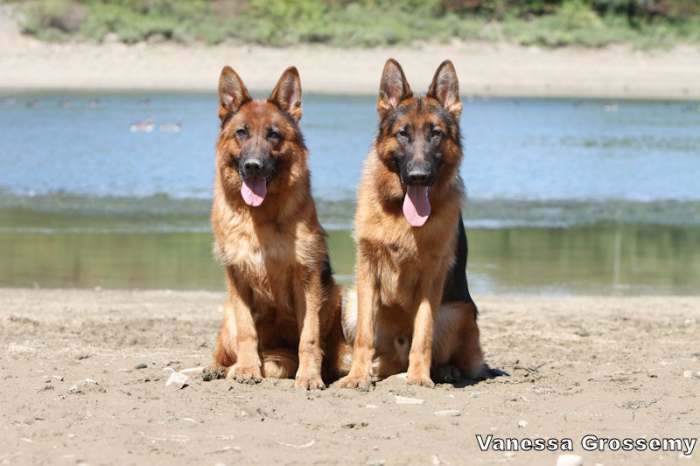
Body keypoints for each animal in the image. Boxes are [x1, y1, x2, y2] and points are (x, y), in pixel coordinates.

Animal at [202, 65, 350, 390]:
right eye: (241, 132)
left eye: (273, 135)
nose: (253, 166)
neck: (260, 217)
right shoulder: (239, 280)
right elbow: (247, 332)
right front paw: (246, 369)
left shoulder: (306, 280)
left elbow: (309, 338)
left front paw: (309, 376)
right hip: (228, 313)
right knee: (227, 347)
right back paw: (219, 367)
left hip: (333, 296)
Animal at [336, 59, 490, 390]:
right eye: (403, 134)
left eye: (436, 134)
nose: (419, 176)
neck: (399, 215)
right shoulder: (367, 269)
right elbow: (365, 335)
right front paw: (357, 375)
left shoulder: (432, 277)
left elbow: (423, 331)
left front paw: (419, 376)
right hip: (351, 300)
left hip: (457, 311)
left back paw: (441, 370)